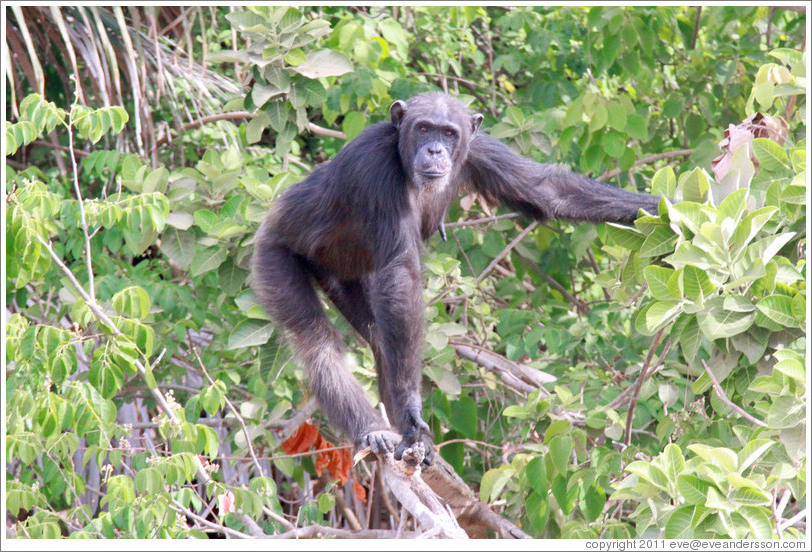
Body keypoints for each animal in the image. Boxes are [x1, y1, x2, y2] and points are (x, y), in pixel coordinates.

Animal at [252, 94, 660, 466]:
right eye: (423, 128)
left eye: (449, 133)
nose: (434, 149)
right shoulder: (373, 164)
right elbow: (401, 271)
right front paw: (412, 408)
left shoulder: (481, 149)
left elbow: (550, 191)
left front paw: (663, 209)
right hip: (273, 256)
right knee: (318, 342)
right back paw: (373, 431)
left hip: (341, 277)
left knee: (383, 337)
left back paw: (409, 439)